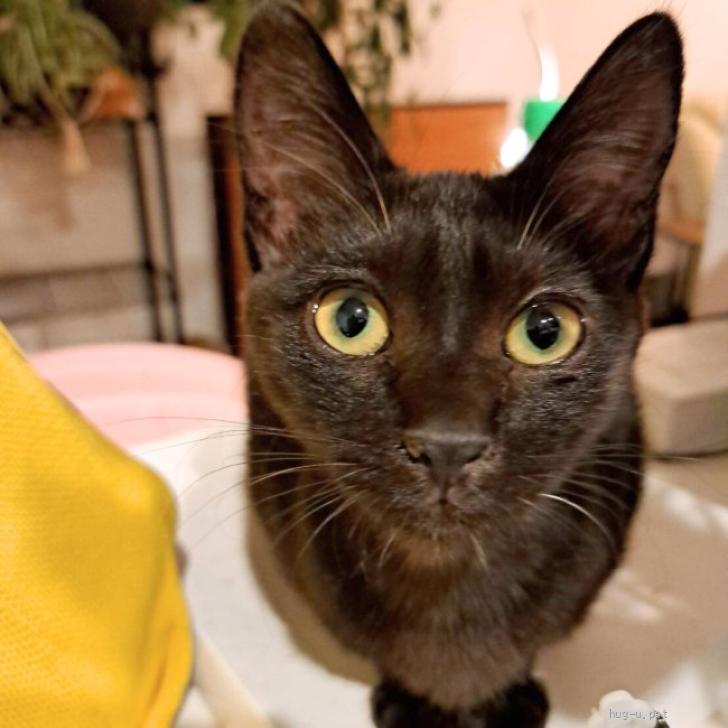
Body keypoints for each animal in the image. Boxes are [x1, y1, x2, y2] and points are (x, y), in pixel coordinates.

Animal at [235, 2, 683, 726]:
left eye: (544, 331)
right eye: (351, 320)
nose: (448, 443)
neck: (445, 586)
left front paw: (511, 695)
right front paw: (408, 699)